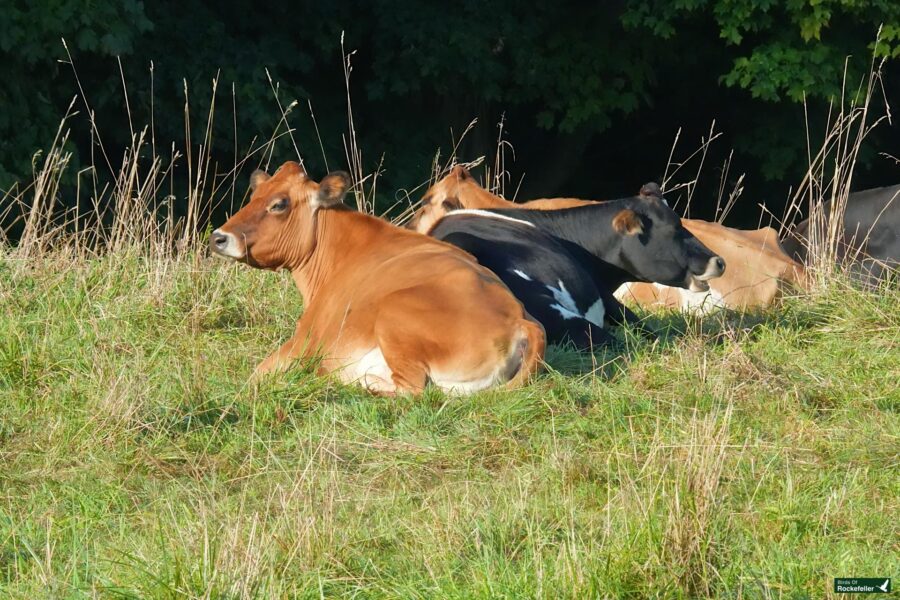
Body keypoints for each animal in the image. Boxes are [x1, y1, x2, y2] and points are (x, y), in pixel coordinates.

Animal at [212, 161, 544, 394]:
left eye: (279, 203)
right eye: (254, 196)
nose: (218, 236)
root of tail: (520, 318)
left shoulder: (304, 343)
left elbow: (257, 376)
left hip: (395, 313)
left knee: (413, 391)